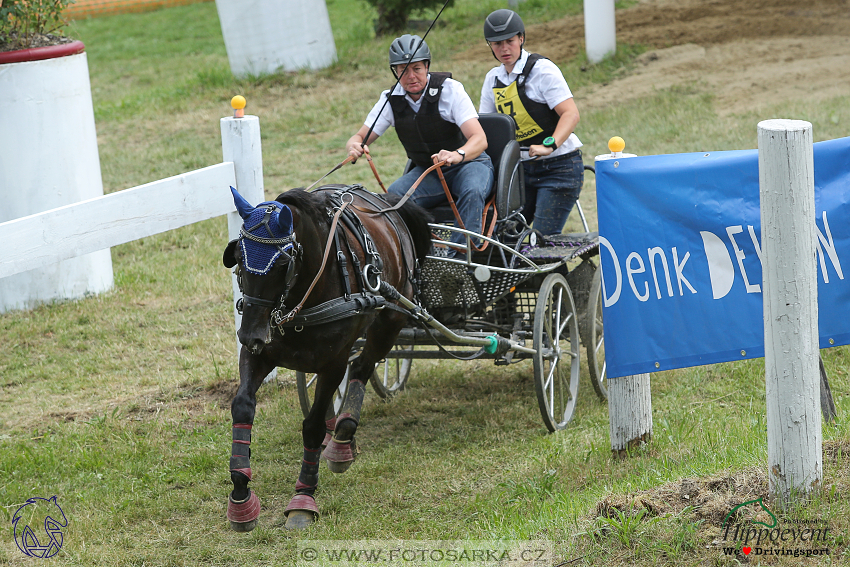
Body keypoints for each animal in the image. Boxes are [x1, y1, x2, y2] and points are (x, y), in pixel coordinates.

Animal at [220, 183, 430, 532]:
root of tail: (386, 203)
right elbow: (243, 407)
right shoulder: (257, 354)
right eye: (238, 257)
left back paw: (342, 440)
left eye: (282, 264)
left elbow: (313, 426)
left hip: (390, 320)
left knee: (362, 367)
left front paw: (303, 498)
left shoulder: (333, 362)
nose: (250, 333)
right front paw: (240, 495)